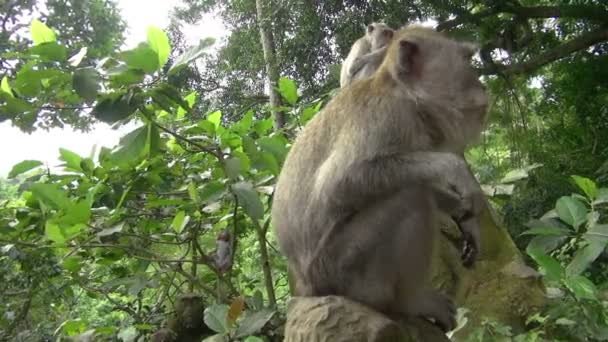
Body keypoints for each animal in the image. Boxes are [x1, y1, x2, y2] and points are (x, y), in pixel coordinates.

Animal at [274, 24, 490, 332]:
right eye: (465, 60)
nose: (482, 87)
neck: (405, 96)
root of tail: (306, 286)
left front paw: (464, 217)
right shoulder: (383, 118)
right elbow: (337, 183)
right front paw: (456, 171)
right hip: (342, 268)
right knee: (411, 196)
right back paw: (408, 302)